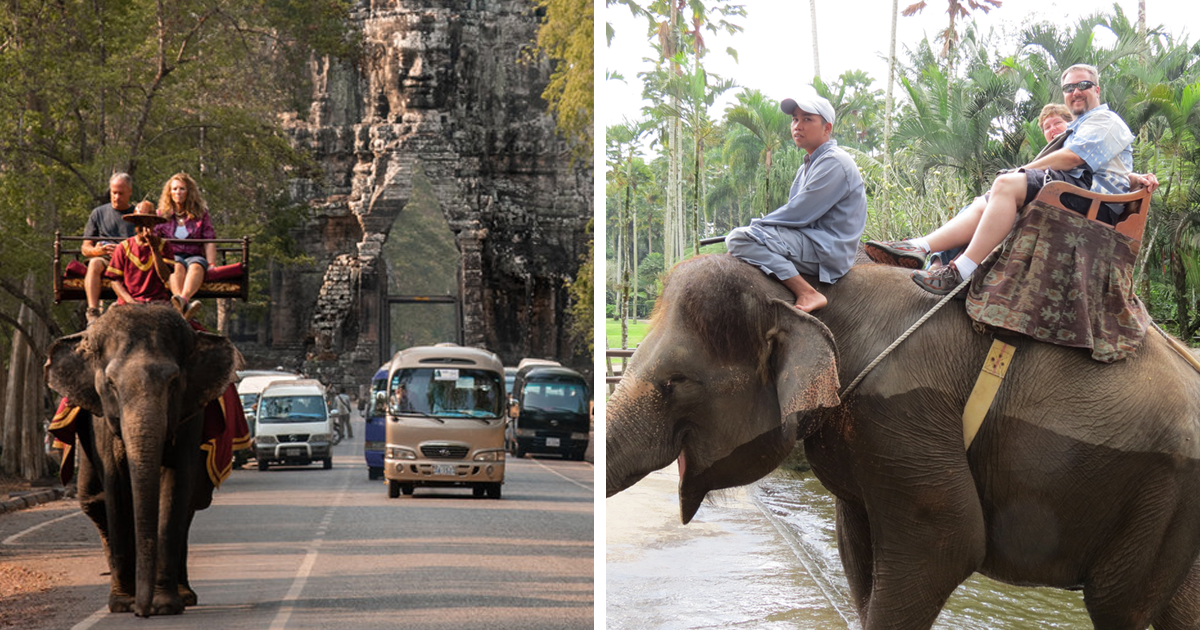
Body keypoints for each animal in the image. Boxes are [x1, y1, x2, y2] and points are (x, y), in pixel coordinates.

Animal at [45, 303, 242, 614]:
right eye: (111, 384)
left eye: (173, 382)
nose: (143, 611)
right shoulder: (101, 420)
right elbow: (115, 487)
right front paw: (122, 604)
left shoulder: (189, 415)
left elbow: (175, 486)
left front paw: (164, 606)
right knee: (93, 501)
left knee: (192, 502)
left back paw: (184, 595)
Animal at [609, 253, 1200, 628]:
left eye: (676, 382)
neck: (814, 295)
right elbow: (858, 549)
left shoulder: (903, 417)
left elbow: (948, 545)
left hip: (1163, 495)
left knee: (1121, 605)